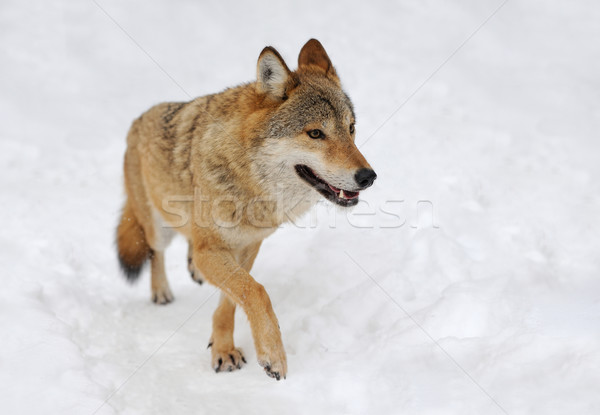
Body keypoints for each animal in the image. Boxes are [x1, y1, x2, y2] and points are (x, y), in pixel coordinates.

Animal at [117, 39, 378, 380]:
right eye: (315, 133)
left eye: (351, 128)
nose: (368, 176)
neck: (250, 185)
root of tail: (136, 122)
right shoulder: (212, 252)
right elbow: (256, 292)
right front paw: (271, 354)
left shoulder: (250, 246)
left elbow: (231, 301)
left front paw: (222, 348)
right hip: (158, 226)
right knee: (154, 250)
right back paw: (161, 292)